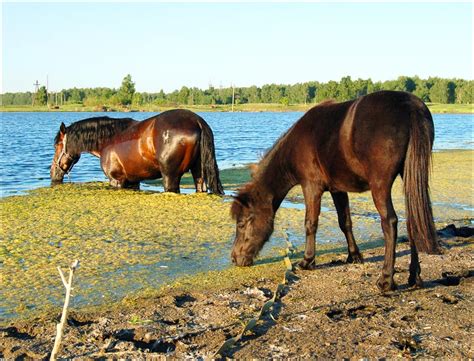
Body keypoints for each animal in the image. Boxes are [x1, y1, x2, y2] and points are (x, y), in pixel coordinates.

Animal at [50, 108, 224, 194]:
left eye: (57, 145)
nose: (52, 172)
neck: (108, 139)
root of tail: (197, 121)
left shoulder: (116, 180)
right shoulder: (133, 181)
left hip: (170, 177)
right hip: (199, 174)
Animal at [231, 90, 438, 292]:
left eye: (241, 223)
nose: (234, 258)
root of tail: (409, 105)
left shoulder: (311, 187)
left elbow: (310, 223)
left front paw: (307, 261)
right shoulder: (338, 189)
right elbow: (345, 222)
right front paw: (354, 255)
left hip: (380, 185)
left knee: (390, 222)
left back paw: (386, 280)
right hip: (408, 177)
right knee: (413, 221)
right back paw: (414, 277)